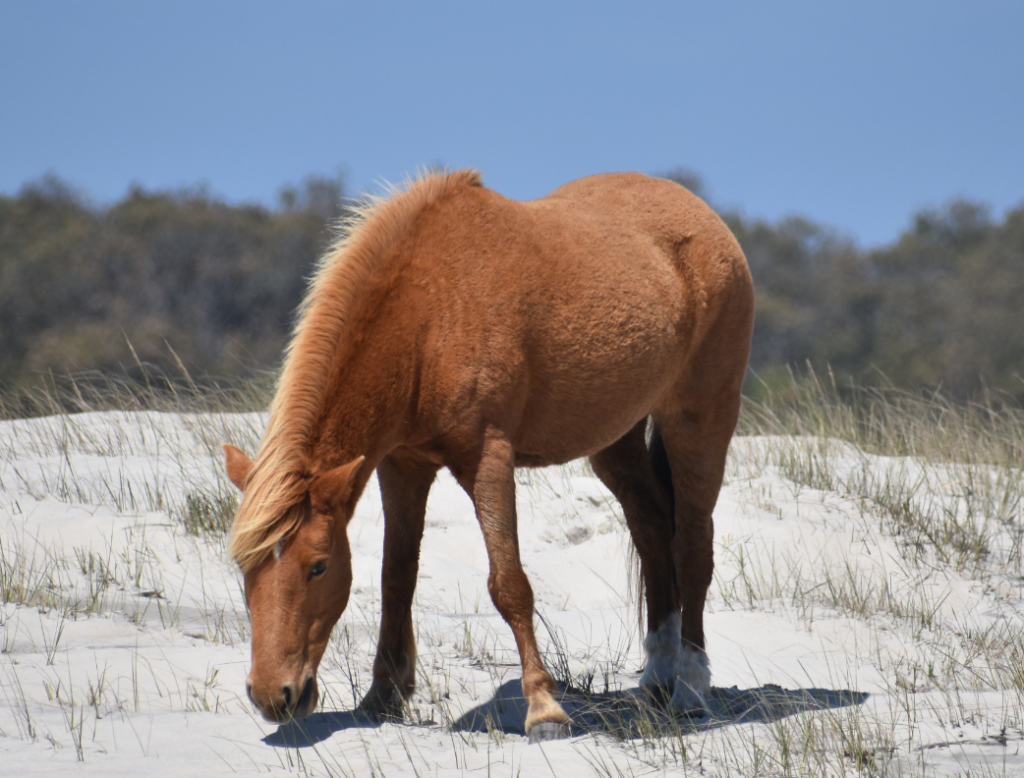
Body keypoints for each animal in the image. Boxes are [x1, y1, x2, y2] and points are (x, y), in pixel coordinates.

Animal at [222, 169, 754, 742]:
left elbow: (510, 584)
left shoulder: (487, 460)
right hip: (617, 440)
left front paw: (544, 708)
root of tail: (703, 218)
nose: (273, 696)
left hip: (699, 420)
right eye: (243, 566)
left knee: (692, 547)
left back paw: (692, 687)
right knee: (653, 531)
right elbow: (396, 577)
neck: (429, 313)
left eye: (318, 567)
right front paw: (383, 695)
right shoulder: (403, 466)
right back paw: (658, 674)